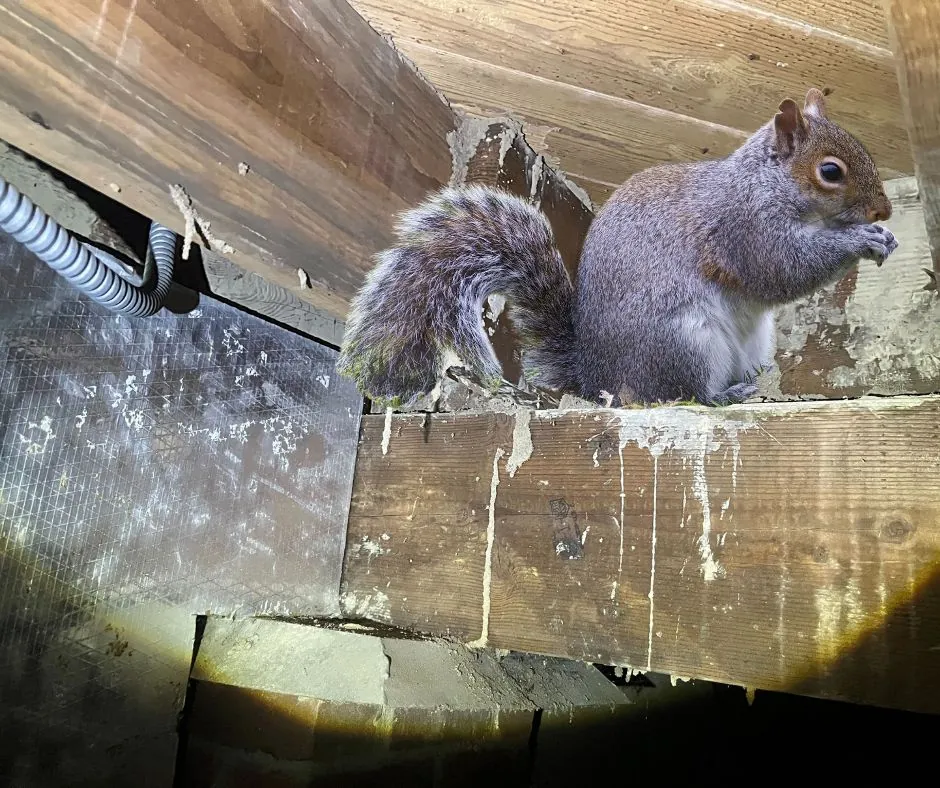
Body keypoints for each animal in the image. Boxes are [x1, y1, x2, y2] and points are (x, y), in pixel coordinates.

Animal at [337, 88, 898, 408]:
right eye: (830, 171)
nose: (885, 211)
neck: (763, 185)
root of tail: (598, 380)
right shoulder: (739, 229)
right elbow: (779, 269)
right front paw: (858, 240)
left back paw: (759, 382)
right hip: (684, 342)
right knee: (682, 397)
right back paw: (726, 394)